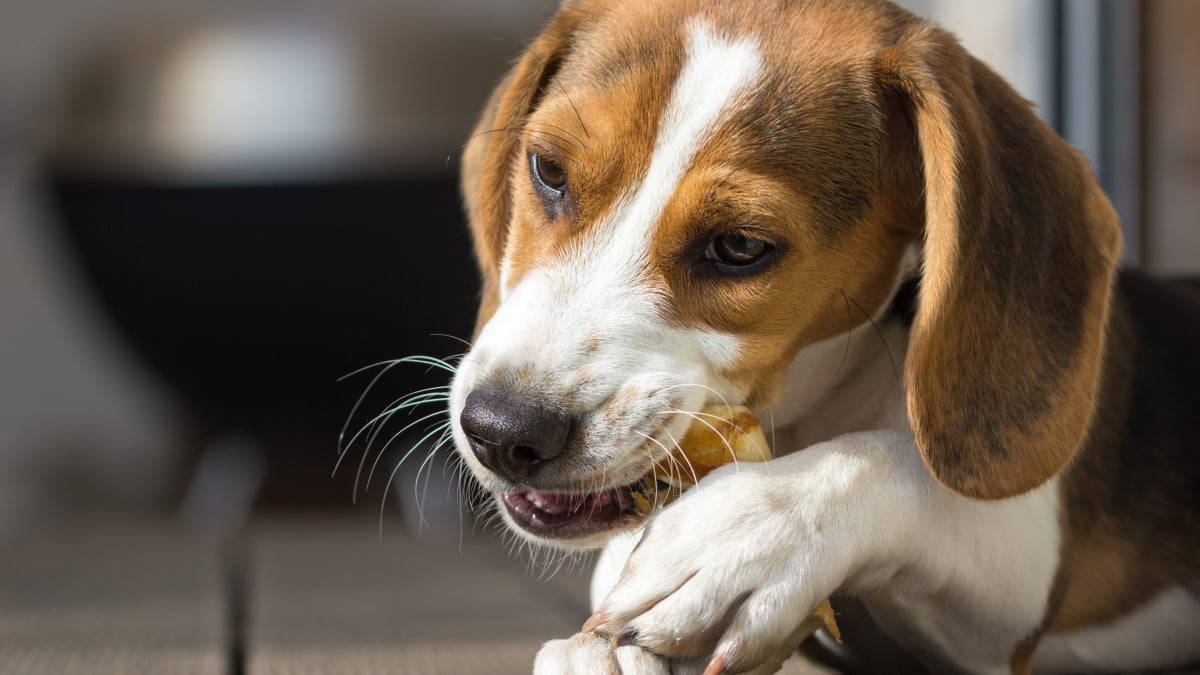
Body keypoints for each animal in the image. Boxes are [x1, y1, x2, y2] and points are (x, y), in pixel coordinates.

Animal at [448, 0, 1200, 667]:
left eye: (740, 246)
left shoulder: (1017, 579)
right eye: (549, 171)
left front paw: (745, 532)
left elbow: (900, 463)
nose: (502, 430)